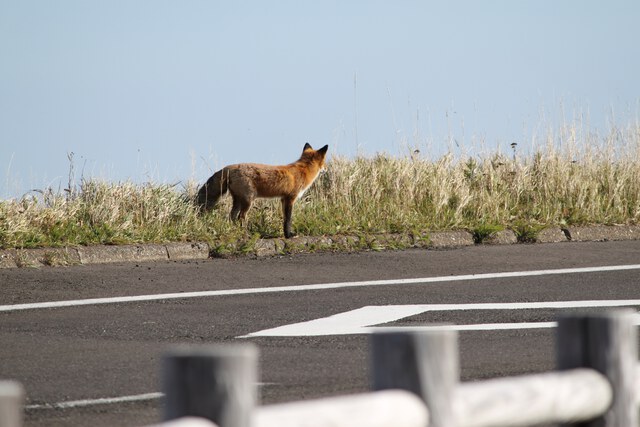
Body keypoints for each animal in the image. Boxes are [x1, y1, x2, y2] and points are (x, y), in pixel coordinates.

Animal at [196, 143, 328, 237]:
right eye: (325, 162)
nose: (326, 169)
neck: (303, 170)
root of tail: (229, 167)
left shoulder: (283, 199)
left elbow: (285, 219)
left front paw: (286, 234)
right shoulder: (290, 198)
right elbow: (288, 219)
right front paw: (289, 235)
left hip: (238, 200)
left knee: (232, 216)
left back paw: (235, 232)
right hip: (248, 200)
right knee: (240, 217)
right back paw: (246, 234)